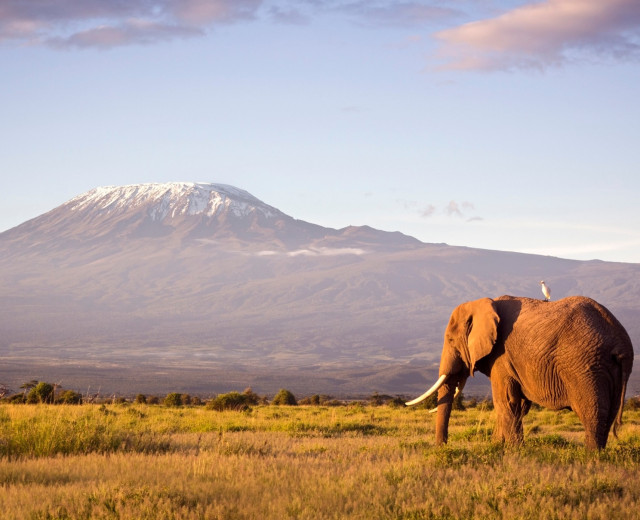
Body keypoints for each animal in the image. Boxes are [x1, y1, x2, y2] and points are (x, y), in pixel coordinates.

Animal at [408, 294, 632, 448]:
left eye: (450, 340)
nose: (442, 447)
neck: (483, 302)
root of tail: (620, 341)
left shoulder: (502, 357)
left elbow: (506, 402)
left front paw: (513, 452)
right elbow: (518, 406)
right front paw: (497, 447)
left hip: (585, 368)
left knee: (592, 413)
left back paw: (590, 457)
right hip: (607, 370)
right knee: (608, 414)